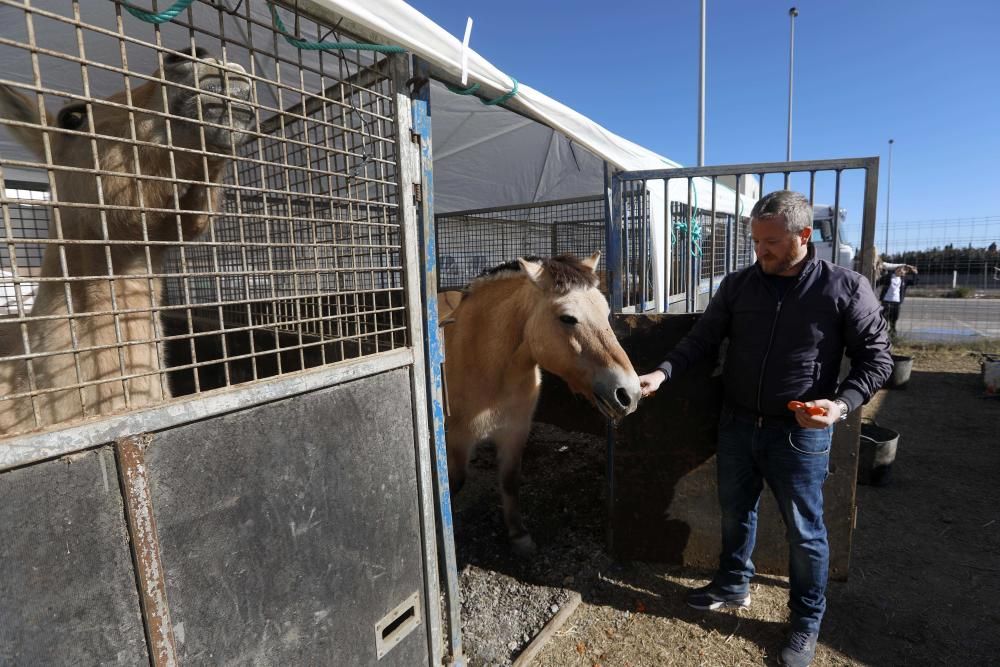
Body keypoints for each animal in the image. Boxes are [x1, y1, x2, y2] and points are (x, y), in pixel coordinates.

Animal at [444, 250, 640, 552]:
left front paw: (519, 536)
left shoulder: (515, 433)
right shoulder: (457, 440)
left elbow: (510, 480)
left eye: (606, 312)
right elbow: (452, 485)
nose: (629, 393)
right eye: (568, 318)